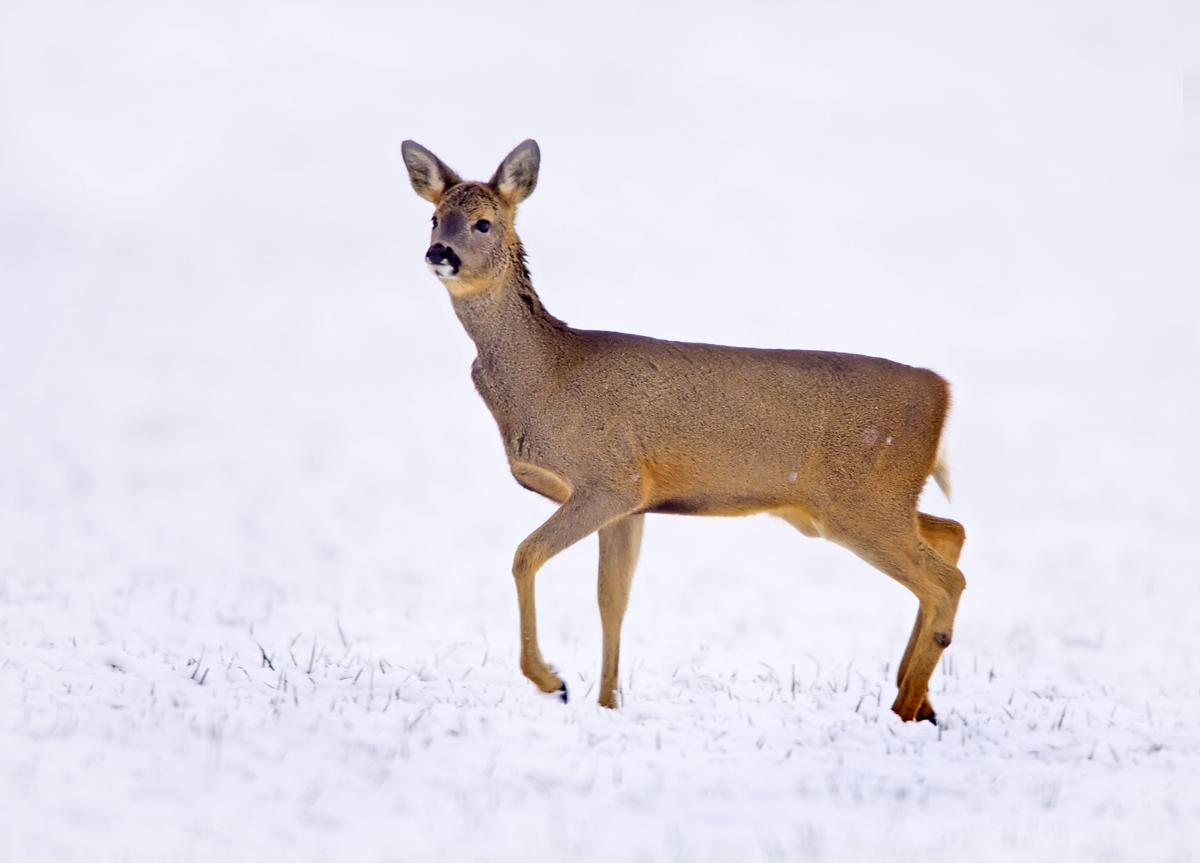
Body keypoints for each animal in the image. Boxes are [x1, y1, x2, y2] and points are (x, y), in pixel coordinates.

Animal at [400, 139, 966, 723]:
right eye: (434, 217)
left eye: (484, 222)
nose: (439, 253)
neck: (549, 373)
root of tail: (942, 391)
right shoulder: (630, 504)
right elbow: (612, 600)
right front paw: (608, 704)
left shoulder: (611, 479)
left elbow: (524, 556)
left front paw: (552, 681)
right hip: (852, 503)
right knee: (952, 534)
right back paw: (920, 703)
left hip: (860, 499)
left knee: (946, 580)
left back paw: (905, 707)